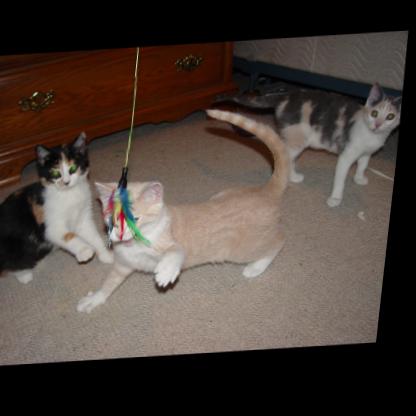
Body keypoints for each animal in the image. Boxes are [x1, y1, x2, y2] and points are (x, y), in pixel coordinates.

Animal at [0, 132, 113, 284]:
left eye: (72, 169)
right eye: (55, 173)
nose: (66, 182)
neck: (68, 194)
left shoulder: (83, 216)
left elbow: (93, 235)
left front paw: (105, 255)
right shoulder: (49, 224)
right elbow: (67, 235)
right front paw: (84, 251)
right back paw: (24, 275)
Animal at [77, 109, 290, 313]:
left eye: (135, 219)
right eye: (112, 219)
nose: (120, 235)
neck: (136, 244)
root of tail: (265, 190)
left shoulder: (170, 244)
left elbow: (176, 251)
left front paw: (166, 272)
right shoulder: (123, 265)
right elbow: (109, 283)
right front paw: (95, 299)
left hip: (241, 250)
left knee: (278, 241)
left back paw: (256, 267)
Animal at [218, 83, 401, 207]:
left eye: (390, 116)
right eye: (374, 113)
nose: (377, 125)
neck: (371, 133)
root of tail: (286, 96)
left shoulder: (367, 153)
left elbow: (363, 164)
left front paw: (359, 178)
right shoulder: (346, 155)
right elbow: (340, 180)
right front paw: (335, 198)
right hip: (298, 138)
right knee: (285, 155)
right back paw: (290, 177)